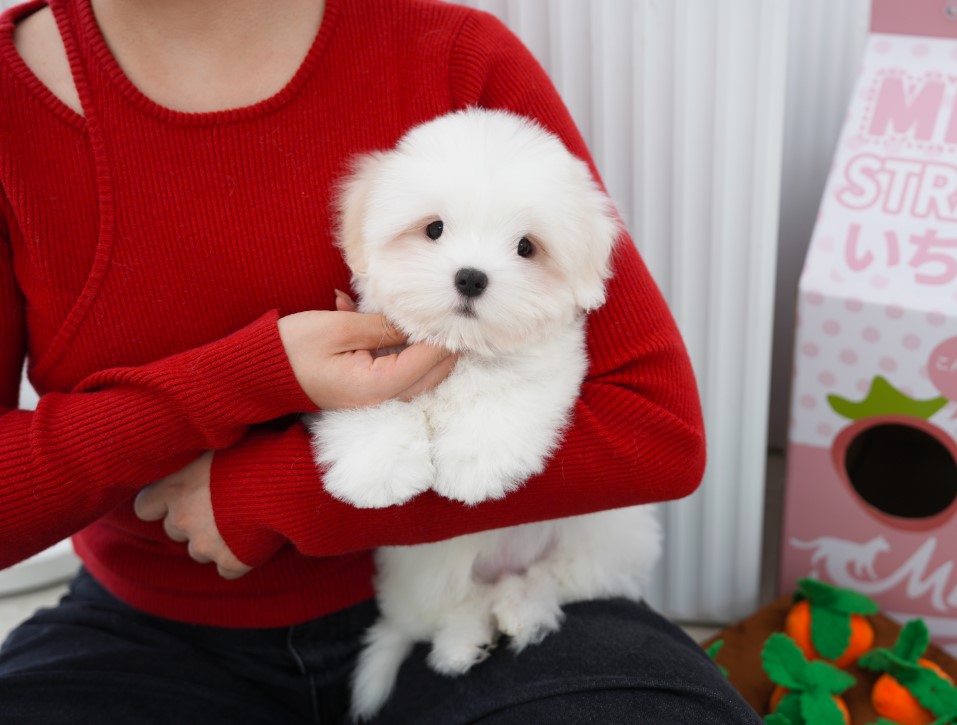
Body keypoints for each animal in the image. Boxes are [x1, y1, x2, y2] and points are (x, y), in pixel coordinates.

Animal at [307, 109, 662, 720]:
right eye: (433, 230)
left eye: (525, 246)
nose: (471, 276)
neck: (462, 347)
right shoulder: (377, 356)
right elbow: (371, 400)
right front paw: (376, 470)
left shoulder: (548, 367)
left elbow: (506, 399)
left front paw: (473, 469)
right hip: (427, 568)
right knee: (455, 608)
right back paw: (463, 643)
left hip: (606, 532)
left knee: (560, 580)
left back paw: (520, 609)